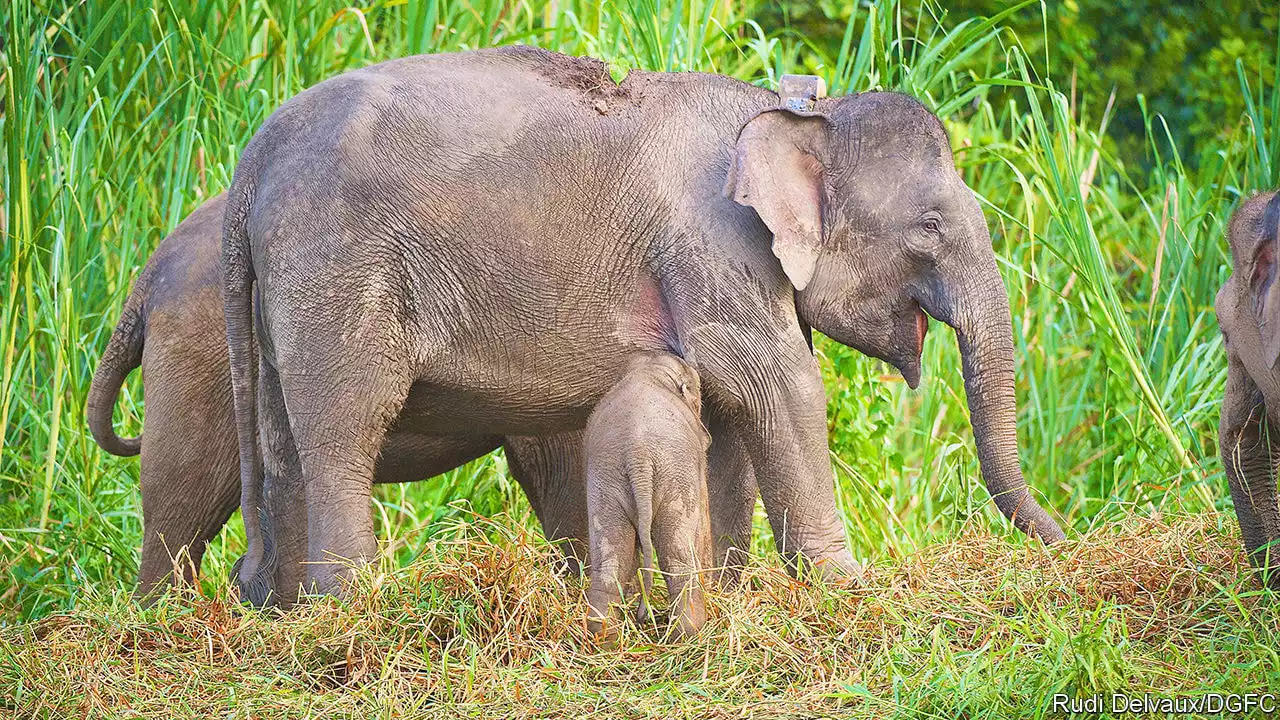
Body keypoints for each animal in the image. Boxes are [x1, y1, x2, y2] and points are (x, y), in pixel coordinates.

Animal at [225, 46, 1064, 599]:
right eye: (929, 226)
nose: (1064, 541)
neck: (795, 114)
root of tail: (252, 160)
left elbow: (732, 415)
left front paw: (730, 593)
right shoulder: (713, 242)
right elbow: (781, 386)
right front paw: (846, 584)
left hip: (284, 296)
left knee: (282, 442)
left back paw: (284, 611)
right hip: (336, 274)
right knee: (345, 429)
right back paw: (350, 608)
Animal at [586, 351, 716, 635]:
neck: (649, 371)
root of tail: (638, 453)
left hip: (605, 481)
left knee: (609, 560)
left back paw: (604, 636)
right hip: (676, 477)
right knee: (678, 556)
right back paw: (689, 634)